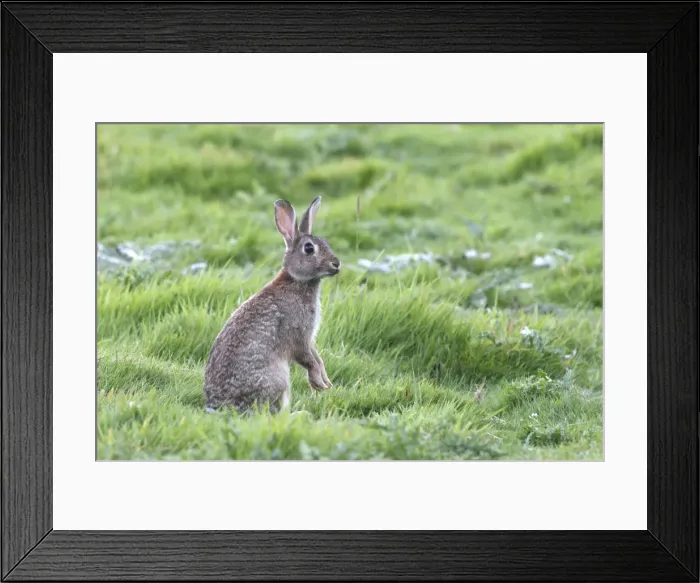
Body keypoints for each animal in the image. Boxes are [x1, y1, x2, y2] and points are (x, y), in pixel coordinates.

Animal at [203, 196, 340, 414]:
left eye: (326, 242)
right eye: (309, 249)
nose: (336, 264)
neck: (296, 280)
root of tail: (219, 406)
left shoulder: (308, 338)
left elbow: (317, 357)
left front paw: (326, 382)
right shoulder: (299, 334)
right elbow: (308, 359)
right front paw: (319, 383)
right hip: (279, 378)